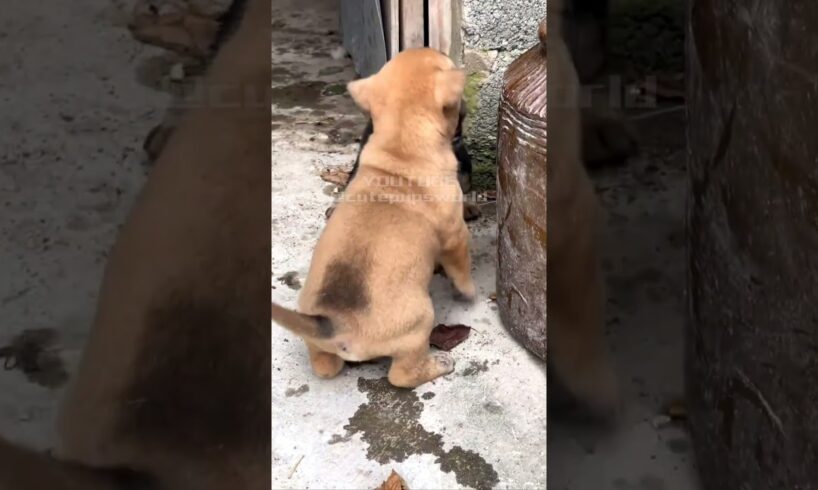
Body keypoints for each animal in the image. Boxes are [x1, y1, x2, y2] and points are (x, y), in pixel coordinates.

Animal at [272, 47, 472, 388]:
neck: (401, 146)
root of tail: (333, 325)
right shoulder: (456, 235)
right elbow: (461, 269)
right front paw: (469, 292)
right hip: (421, 320)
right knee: (401, 375)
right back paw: (439, 364)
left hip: (318, 346)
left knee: (325, 367)